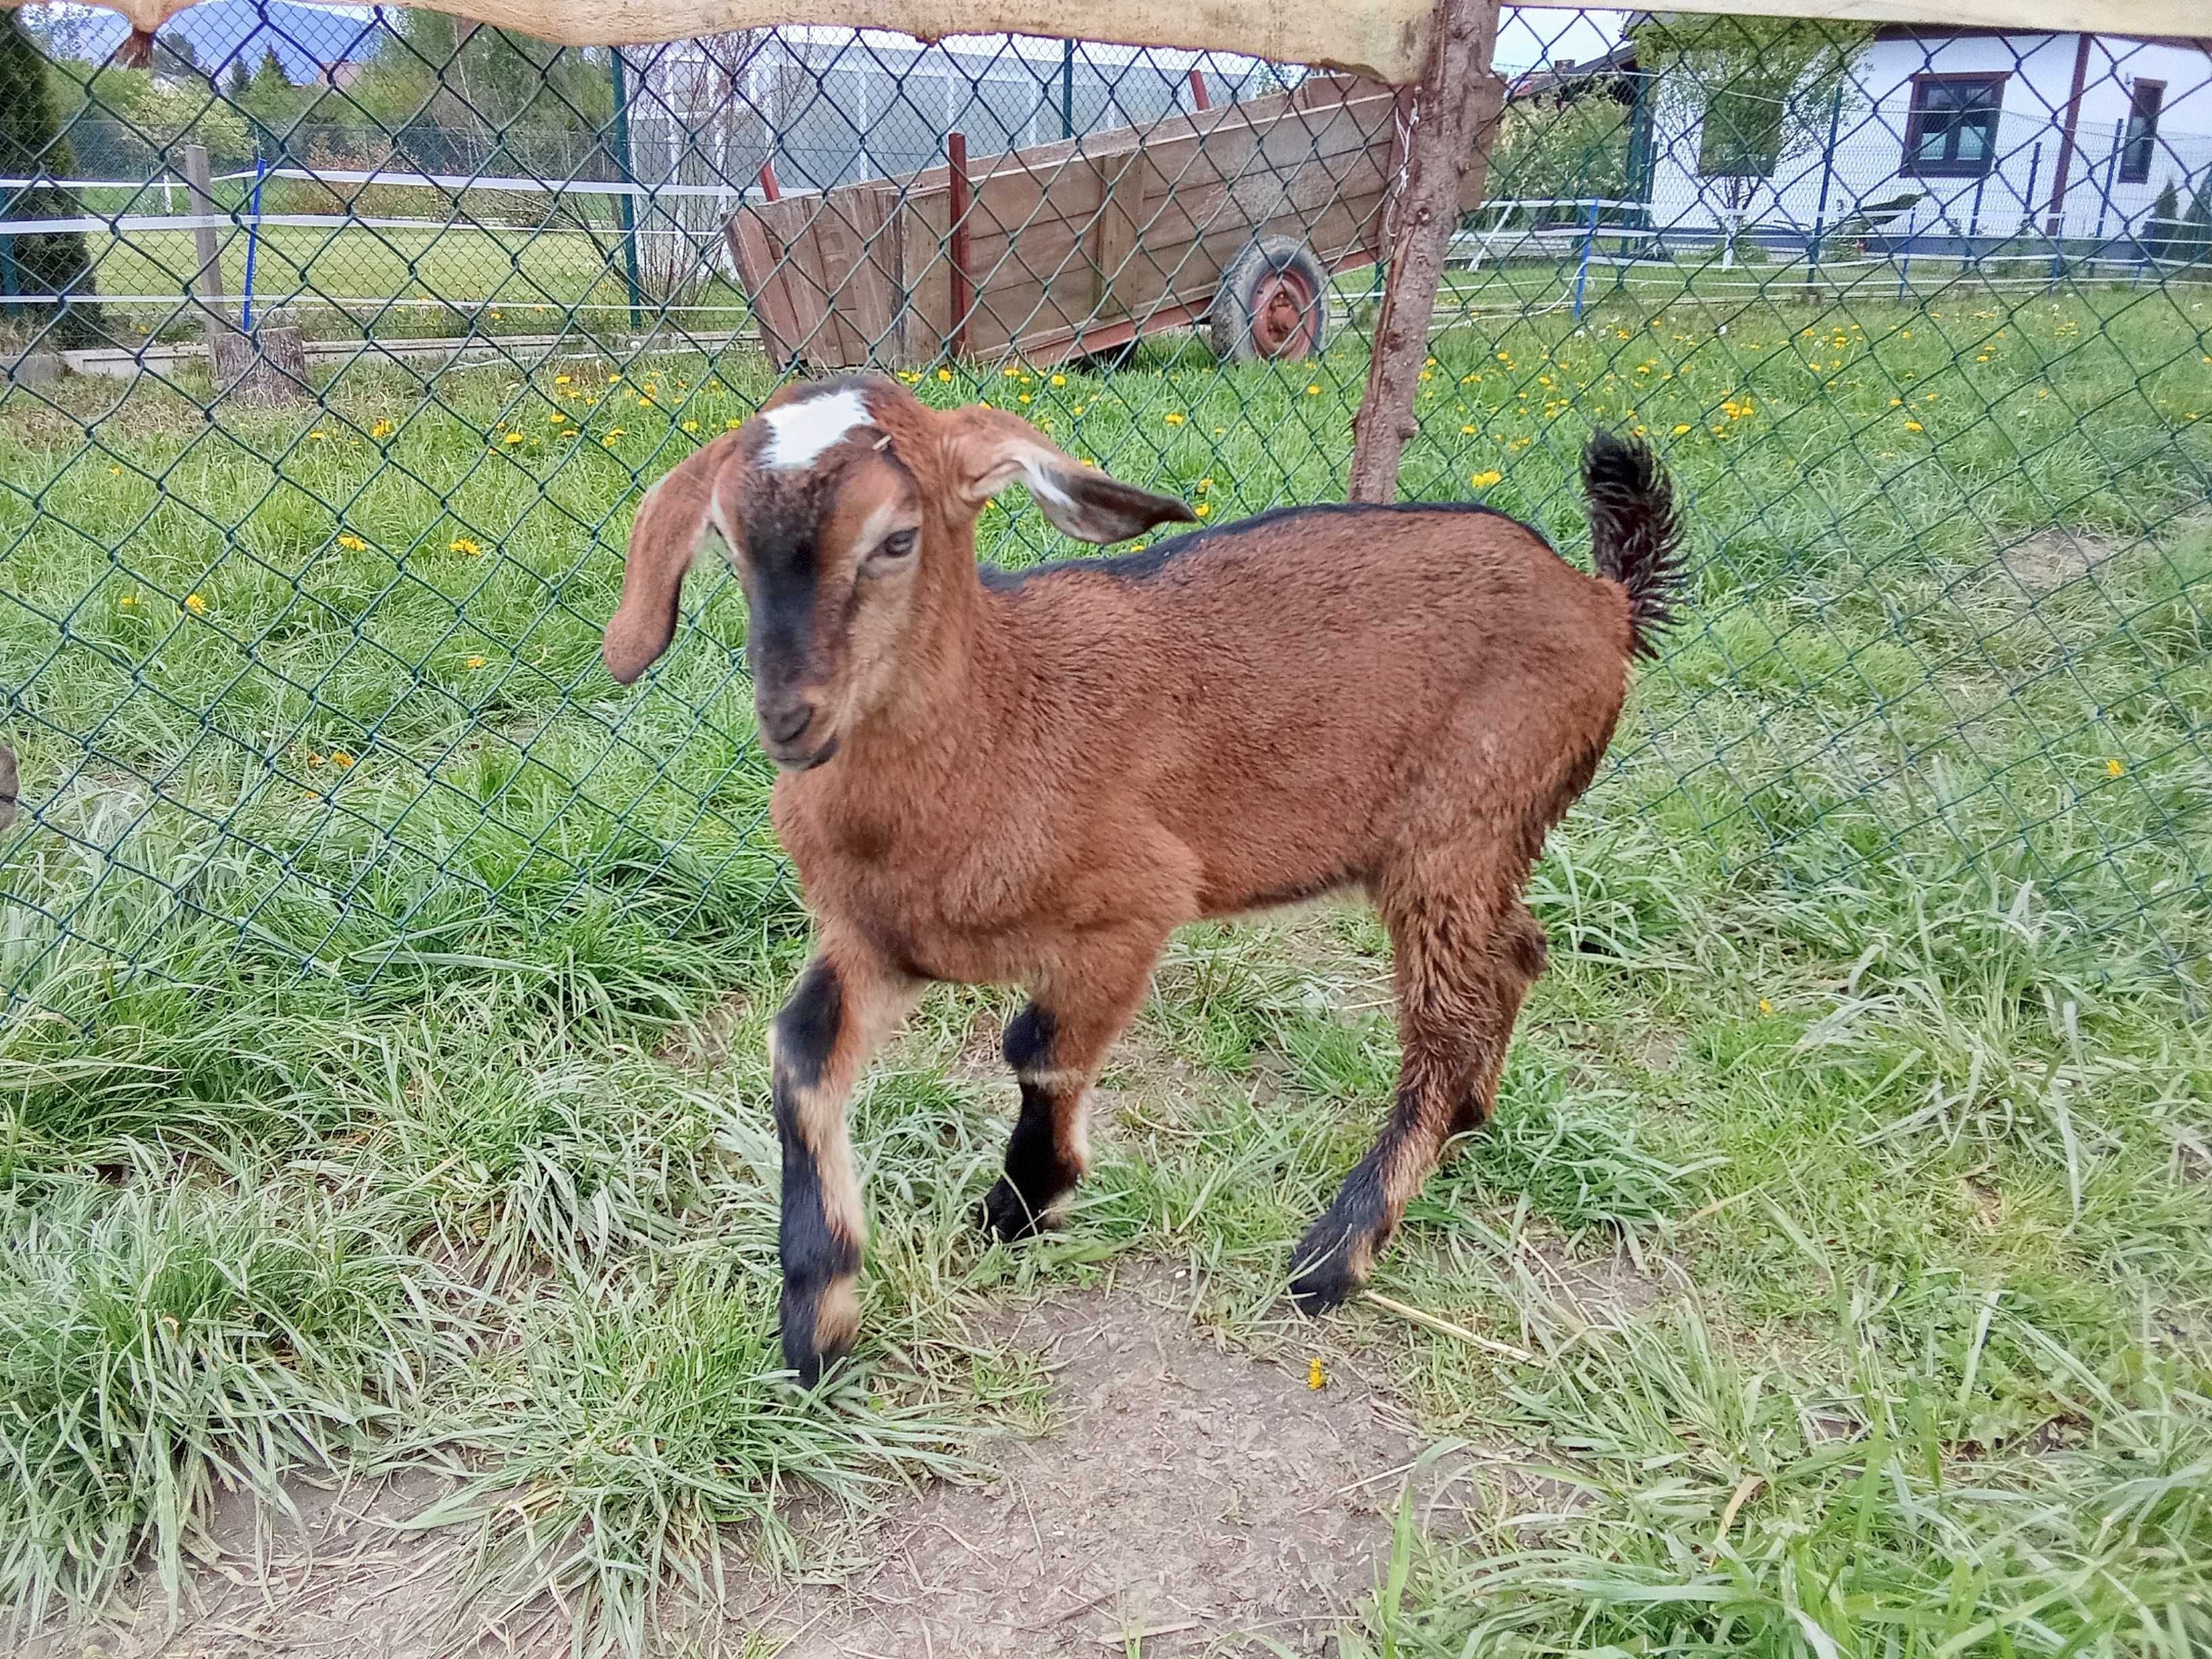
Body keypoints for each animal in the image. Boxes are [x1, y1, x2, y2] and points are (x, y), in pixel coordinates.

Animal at [606, 375, 1672, 1389]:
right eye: (727, 541)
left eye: (896, 537)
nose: (791, 718)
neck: (998, 717)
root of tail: (1602, 604)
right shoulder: (879, 936)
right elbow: (801, 1052)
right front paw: (817, 1321)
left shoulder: (1133, 910)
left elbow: (1037, 1050)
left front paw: (1021, 1207)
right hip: (1483, 843)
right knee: (1517, 953)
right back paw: (1469, 1124)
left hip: (1462, 825)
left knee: (1446, 1026)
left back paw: (1336, 1253)